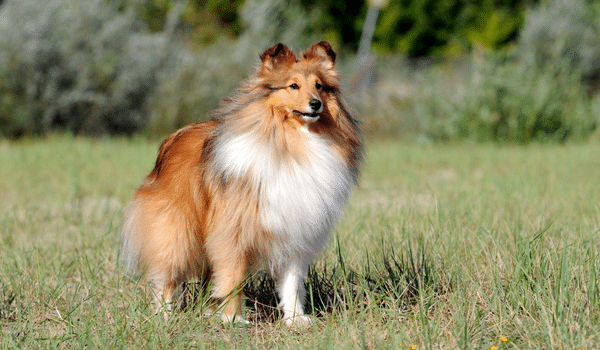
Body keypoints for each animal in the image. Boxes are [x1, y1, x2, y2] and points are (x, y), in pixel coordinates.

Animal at [119, 41, 358, 328]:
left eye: (319, 86)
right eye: (293, 86)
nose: (315, 104)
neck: (291, 142)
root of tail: (172, 139)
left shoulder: (295, 231)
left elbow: (291, 282)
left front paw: (295, 319)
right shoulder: (231, 232)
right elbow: (233, 277)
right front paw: (233, 319)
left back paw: (208, 311)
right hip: (177, 229)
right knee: (167, 273)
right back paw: (164, 315)